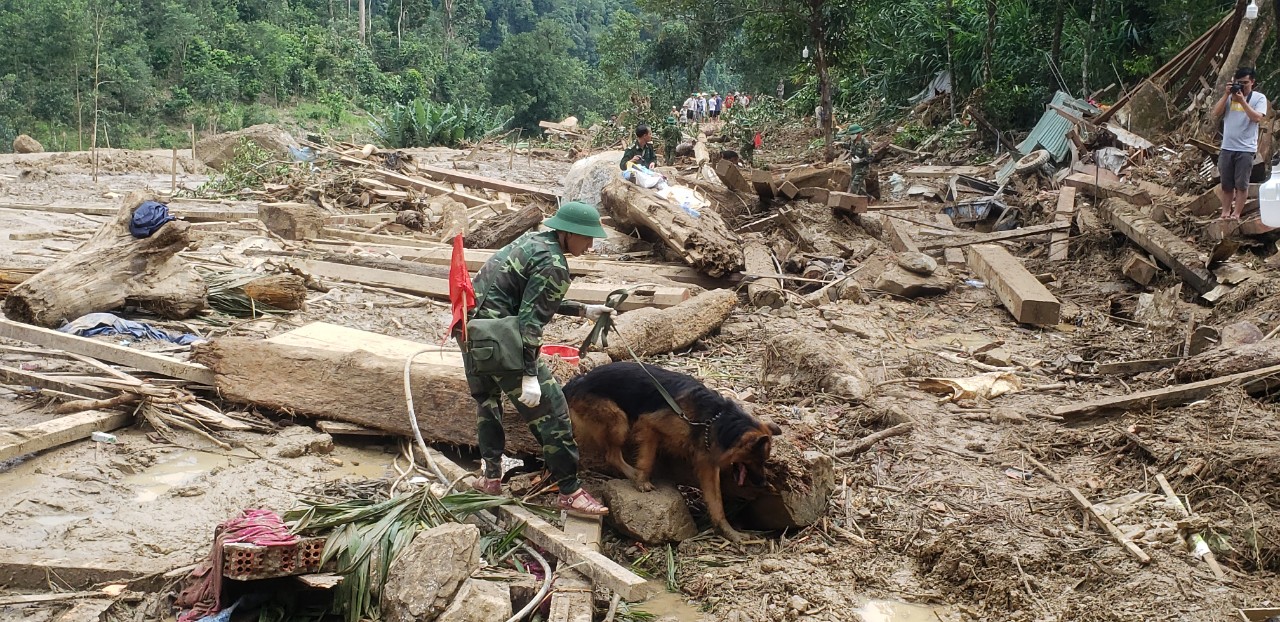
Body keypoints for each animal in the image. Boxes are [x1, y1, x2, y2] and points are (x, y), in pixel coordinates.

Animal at [568, 360, 783, 542]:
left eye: (764, 461)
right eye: (758, 460)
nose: (763, 482)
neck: (715, 419)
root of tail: (577, 381)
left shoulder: (709, 467)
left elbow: (717, 503)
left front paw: (729, 531)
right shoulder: (649, 425)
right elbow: (647, 459)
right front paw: (642, 480)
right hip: (619, 421)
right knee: (611, 455)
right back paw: (631, 473)